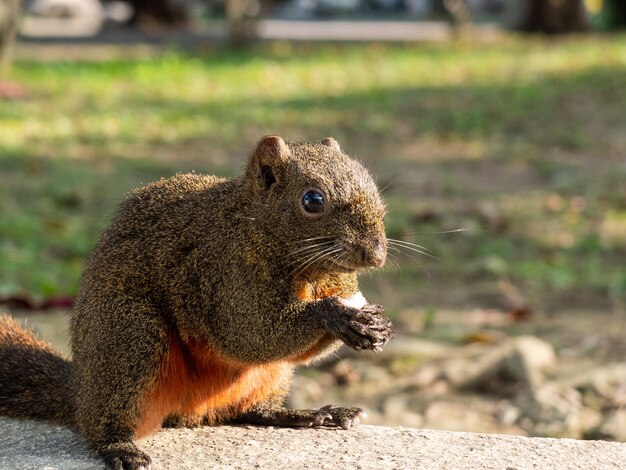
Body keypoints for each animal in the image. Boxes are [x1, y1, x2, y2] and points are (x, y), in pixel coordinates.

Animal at [0, 137, 390, 470]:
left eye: (373, 187)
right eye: (312, 201)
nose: (375, 254)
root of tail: (78, 390)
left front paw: (376, 325)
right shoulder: (223, 275)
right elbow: (252, 335)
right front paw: (339, 316)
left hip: (270, 376)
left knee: (252, 411)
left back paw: (310, 415)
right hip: (129, 336)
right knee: (101, 423)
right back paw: (119, 447)